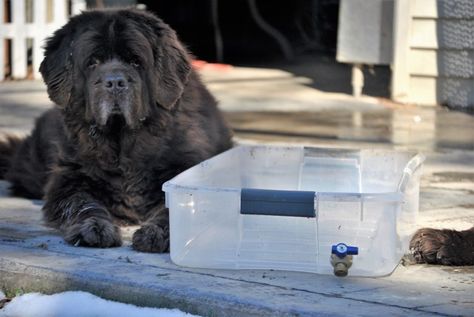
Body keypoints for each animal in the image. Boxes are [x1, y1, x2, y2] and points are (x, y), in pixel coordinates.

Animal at [0, 9, 233, 252]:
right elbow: (82, 202)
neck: (122, 143)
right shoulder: (71, 177)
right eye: (92, 63)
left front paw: (156, 234)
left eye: (135, 61)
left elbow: (173, 205)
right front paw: (94, 228)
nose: (114, 82)